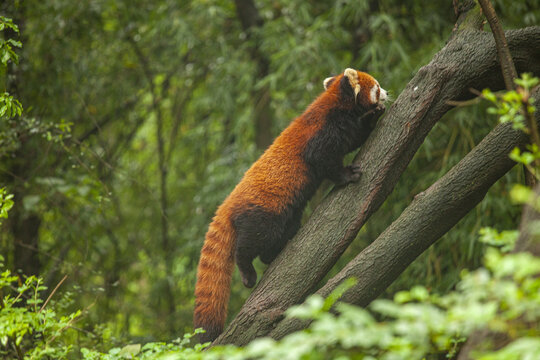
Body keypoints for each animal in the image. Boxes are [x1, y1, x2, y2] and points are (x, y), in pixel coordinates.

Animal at [194, 68, 388, 344]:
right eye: (377, 86)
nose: (386, 92)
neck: (335, 107)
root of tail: (227, 205)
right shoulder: (323, 134)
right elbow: (324, 161)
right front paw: (347, 175)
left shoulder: (346, 129)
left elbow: (356, 138)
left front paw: (374, 116)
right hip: (265, 214)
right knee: (249, 244)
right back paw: (248, 272)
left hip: (288, 216)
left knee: (281, 233)